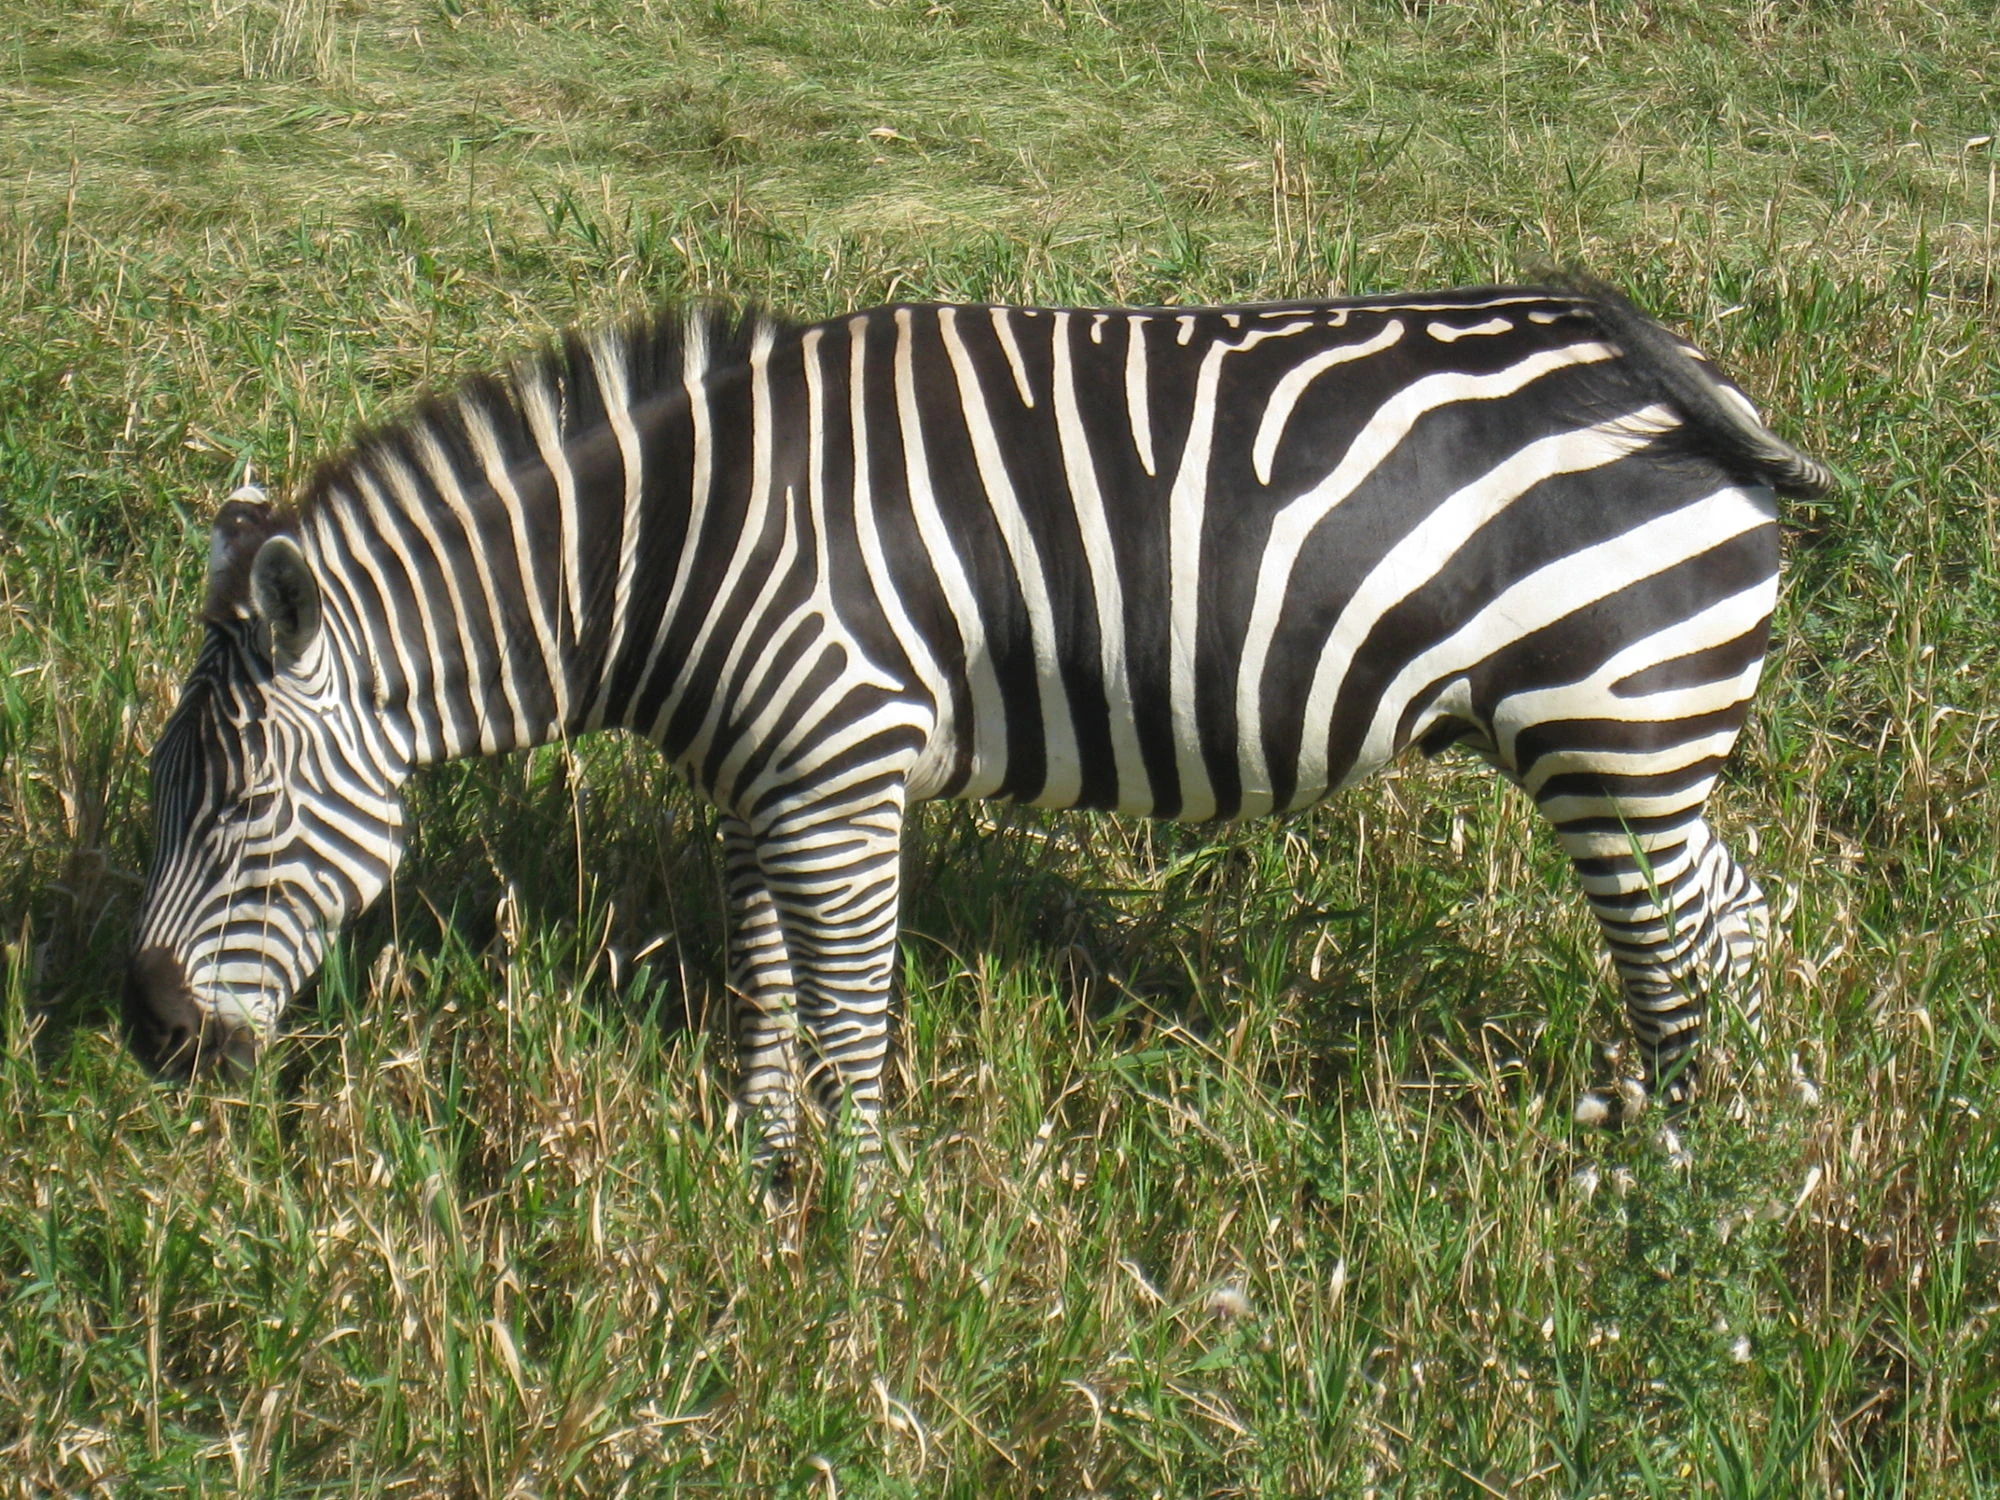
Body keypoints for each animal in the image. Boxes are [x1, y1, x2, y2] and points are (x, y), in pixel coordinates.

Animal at [125, 279, 1830, 1169]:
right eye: (162, 799)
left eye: (240, 810)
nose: (148, 1042)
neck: (667, 554)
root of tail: (1660, 352)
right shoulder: (759, 781)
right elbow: (766, 985)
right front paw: (765, 1168)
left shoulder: (839, 771)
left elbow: (850, 1004)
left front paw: (860, 1230)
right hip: (1641, 746)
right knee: (1735, 921)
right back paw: (1746, 1155)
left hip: (1607, 726)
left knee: (1675, 945)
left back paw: (1665, 1175)